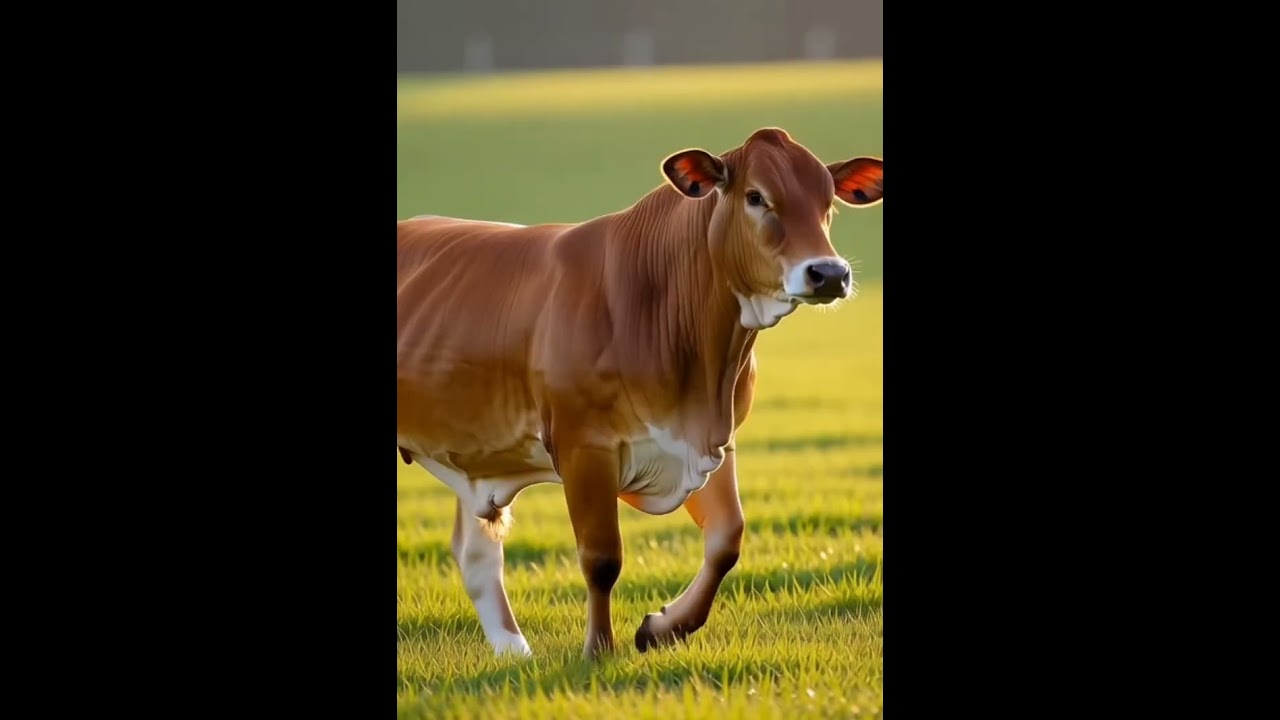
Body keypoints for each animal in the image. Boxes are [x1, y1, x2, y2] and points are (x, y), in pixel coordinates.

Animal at [397, 127, 883, 660]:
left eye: (827, 202)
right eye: (756, 196)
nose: (829, 273)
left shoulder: (710, 438)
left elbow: (727, 539)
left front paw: (663, 627)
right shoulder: (584, 446)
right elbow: (602, 557)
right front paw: (598, 650)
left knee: (477, 553)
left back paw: (514, 653)